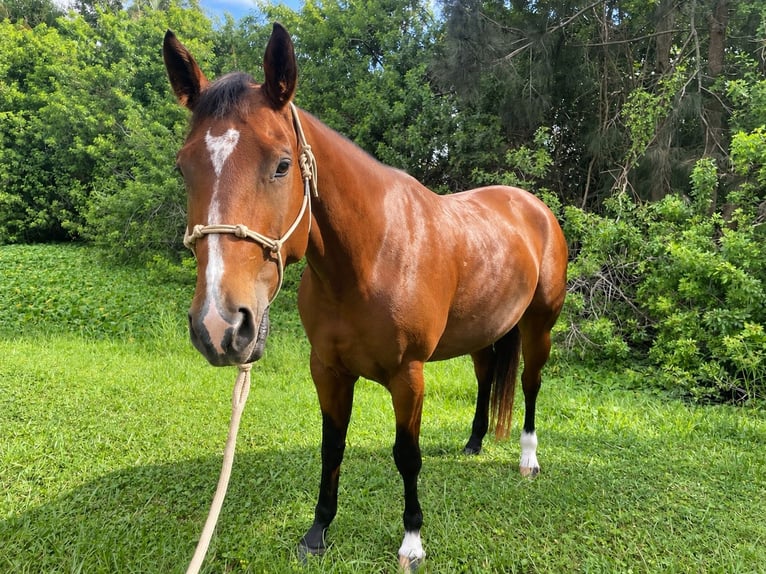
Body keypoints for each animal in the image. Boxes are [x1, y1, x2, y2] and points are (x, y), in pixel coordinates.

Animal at [163, 23, 568, 571]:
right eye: (184, 168)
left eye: (282, 165)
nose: (220, 325)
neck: (370, 258)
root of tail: (533, 207)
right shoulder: (328, 369)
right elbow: (331, 447)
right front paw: (317, 532)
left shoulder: (408, 376)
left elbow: (407, 455)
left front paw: (412, 540)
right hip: (485, 330)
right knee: (487, 377)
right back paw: (474, 443)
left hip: (539, 326)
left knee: (529, 383)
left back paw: (527, 458)